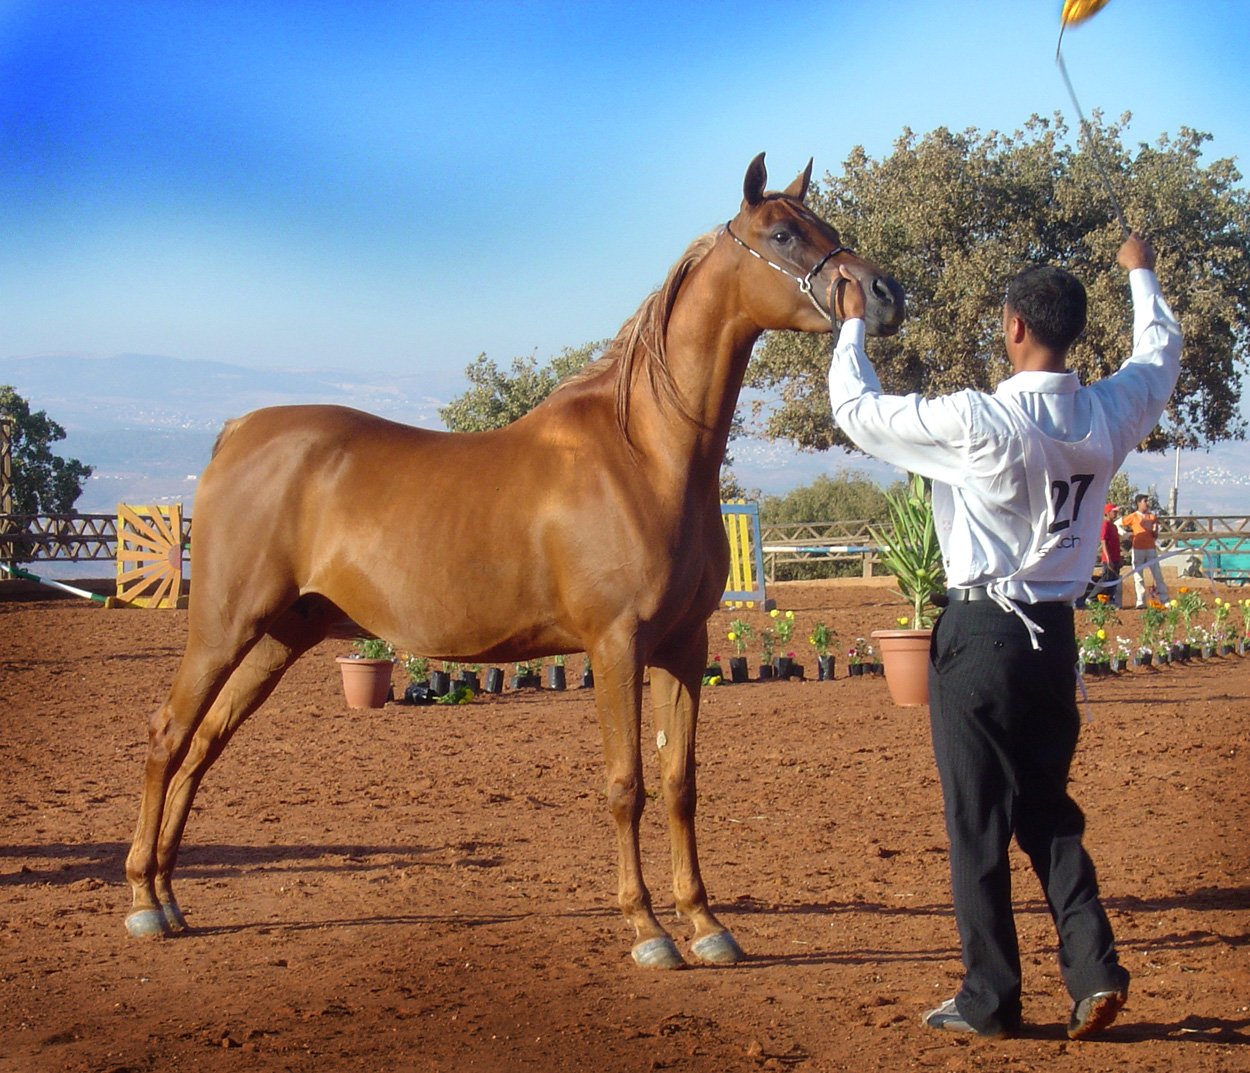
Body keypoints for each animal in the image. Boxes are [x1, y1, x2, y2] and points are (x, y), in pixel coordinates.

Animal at [126, 154, 905, 965]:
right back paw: (145, 902)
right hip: (222, 629)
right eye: (783, 233)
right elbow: (625, 783)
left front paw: (706, 923)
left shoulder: (684, 647)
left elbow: (679, 782)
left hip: (281, 635)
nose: (887, 293)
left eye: (826, 226)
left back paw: (173, 898)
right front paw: (647, 929)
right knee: (168, 736)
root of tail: (237, 431)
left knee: (204, 745)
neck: (644, 451)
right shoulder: (616, 645)